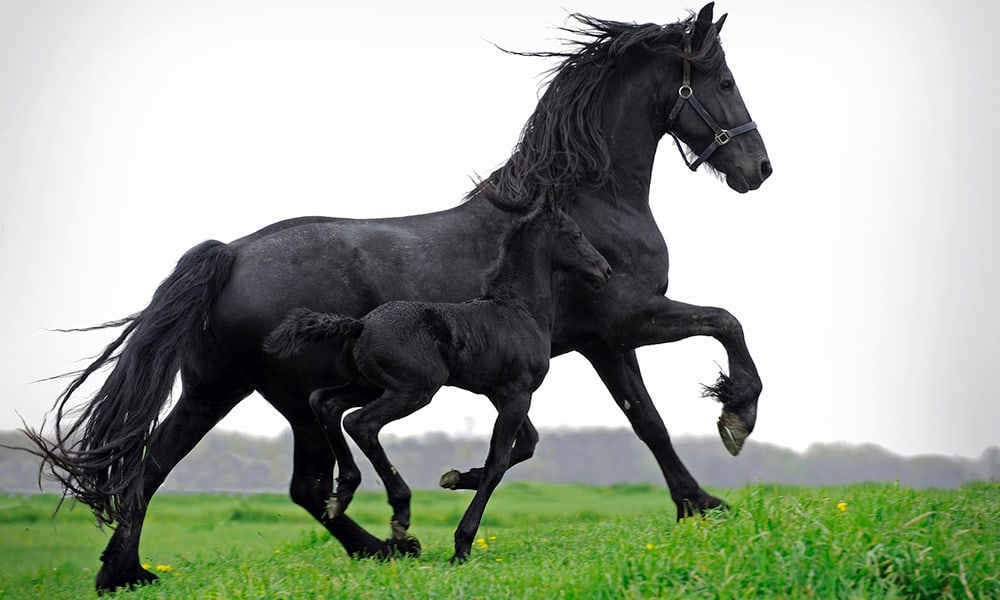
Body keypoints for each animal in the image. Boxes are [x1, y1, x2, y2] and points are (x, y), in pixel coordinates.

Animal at [264, 195, 613, 563]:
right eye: (575, 234)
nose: (605, 270)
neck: (518, 309)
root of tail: (361, 325)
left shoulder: (498, 392)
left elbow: (527, 444)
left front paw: (456, 477)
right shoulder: (517, 392)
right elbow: (498, 462)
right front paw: (462, 544)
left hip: (369, 385)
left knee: (325, 403)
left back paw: (342, 494)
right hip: (413, 390)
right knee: (360, 423)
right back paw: (400, 512)